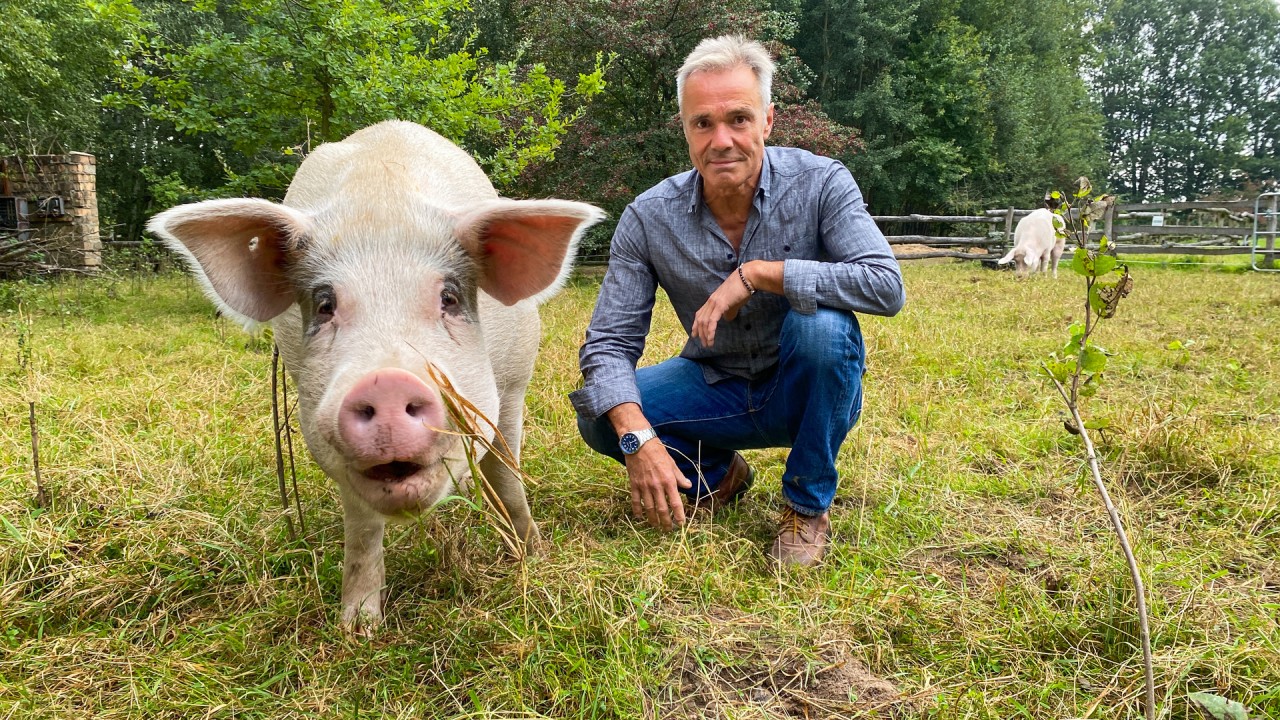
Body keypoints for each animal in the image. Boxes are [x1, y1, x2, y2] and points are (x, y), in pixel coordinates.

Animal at [149, 120, 604, 630]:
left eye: (449, 297)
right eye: (324, 304)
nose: (386, 381)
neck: (382, 199)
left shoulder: (512, 386)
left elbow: (507, 474)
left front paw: (531, 555)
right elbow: (363, 527)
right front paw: (357, 627)